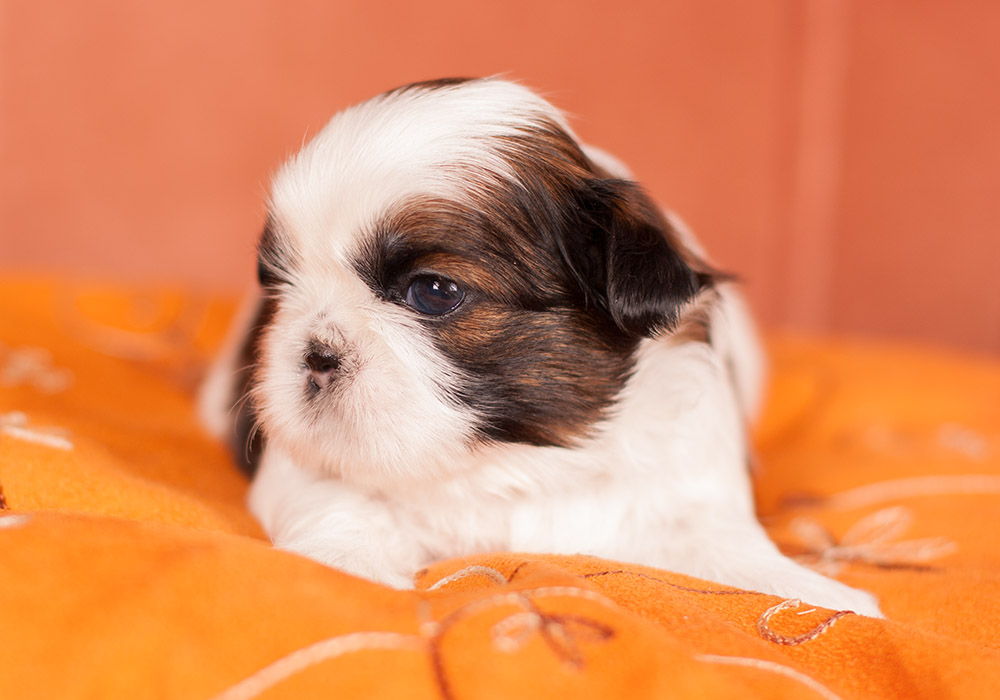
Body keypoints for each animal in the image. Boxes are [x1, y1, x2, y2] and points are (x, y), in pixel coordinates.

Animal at [201, 77, 882, 617]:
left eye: (434, 292)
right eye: (279, 286)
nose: (313, 353)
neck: (517, 457)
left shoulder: (691, 488)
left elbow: (730, 550)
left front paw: (823, 596)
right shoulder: (305, 469)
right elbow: (338, 503)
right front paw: (345, 567)